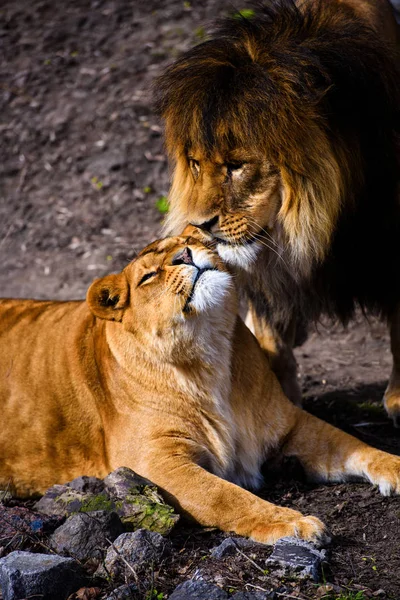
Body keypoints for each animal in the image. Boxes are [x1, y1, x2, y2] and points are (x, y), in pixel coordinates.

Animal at [0, 233, 400, 544]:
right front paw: (293, 522)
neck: (208, 353)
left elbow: (353, 444)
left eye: (189, 241)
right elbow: (226, 496)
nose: (185, 255)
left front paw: (394, 467)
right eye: (148, 276)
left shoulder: (289, 424)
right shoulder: (153, 462)